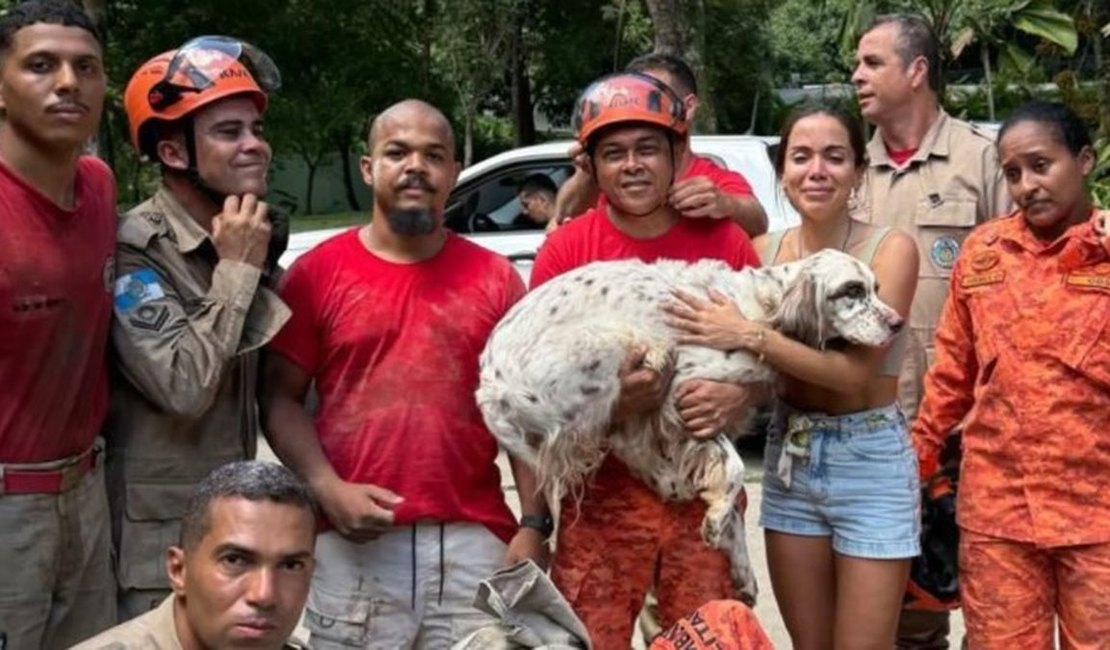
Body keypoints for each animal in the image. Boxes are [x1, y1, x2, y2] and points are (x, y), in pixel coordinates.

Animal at [477, 248, 901, 603]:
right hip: (615, 343)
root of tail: (489, 382)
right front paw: (714, 520)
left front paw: (740, 567)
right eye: (851, 290)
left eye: (876, 288)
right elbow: (733, 469)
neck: (762, 308)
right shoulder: (684, 389)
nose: (898, 323)